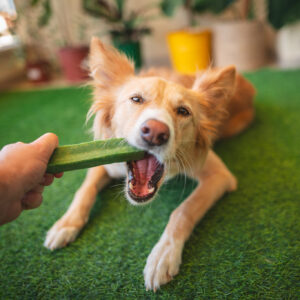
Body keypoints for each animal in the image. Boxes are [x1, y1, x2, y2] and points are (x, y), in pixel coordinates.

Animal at [44, 37, 255, 290]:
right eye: (136, 99)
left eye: (183, 111)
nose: (155, 132)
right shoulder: (105, 160)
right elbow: (84, 190)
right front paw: (65, 224)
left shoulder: (219, 175)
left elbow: (183, 210)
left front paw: (163, 254)